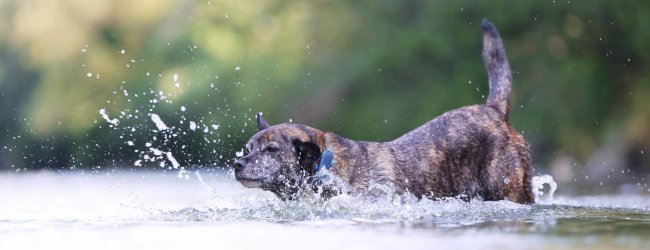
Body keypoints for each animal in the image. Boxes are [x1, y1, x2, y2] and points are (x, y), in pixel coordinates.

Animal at [233, 19, 532, 203]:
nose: (237, 165)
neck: (325, 168)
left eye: (271, 149)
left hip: (511, 189)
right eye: (247, 149)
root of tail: (493, 109)